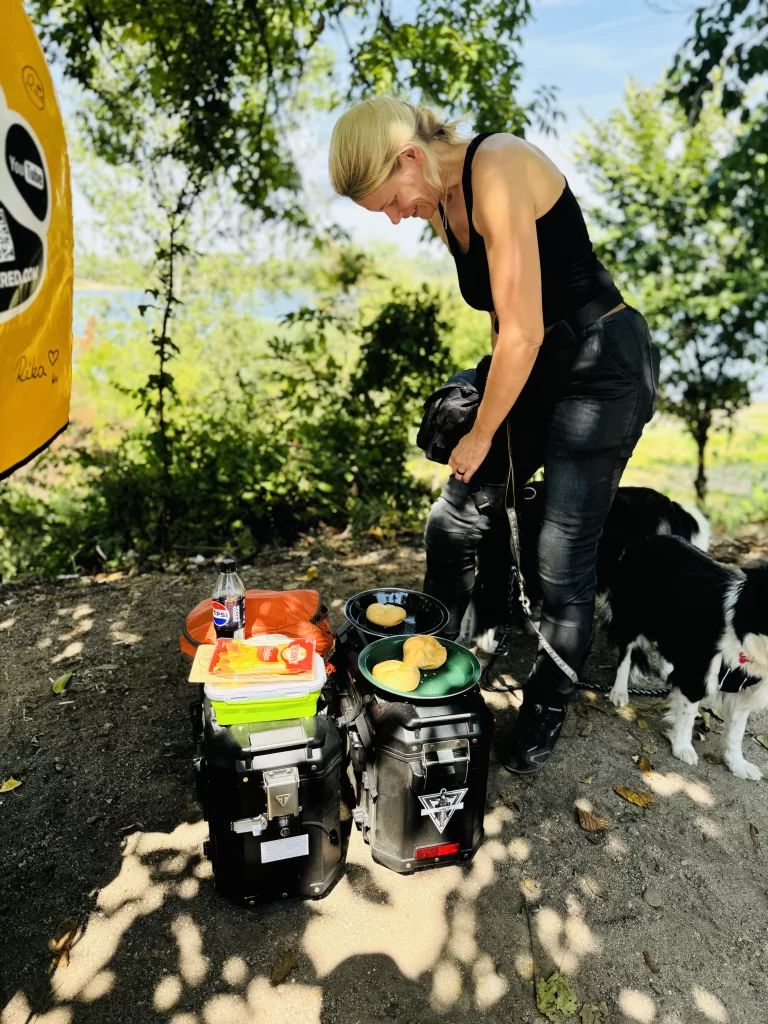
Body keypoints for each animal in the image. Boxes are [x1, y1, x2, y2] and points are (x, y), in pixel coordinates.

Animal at [606, 532, 768, 778]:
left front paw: (737, 764)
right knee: (625, 652)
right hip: (631, 614)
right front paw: (682, 748)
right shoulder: (698, 673)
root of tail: (649, 538)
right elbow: (688, 713)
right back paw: (619, 691)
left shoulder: (744, 688)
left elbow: (736, 732)